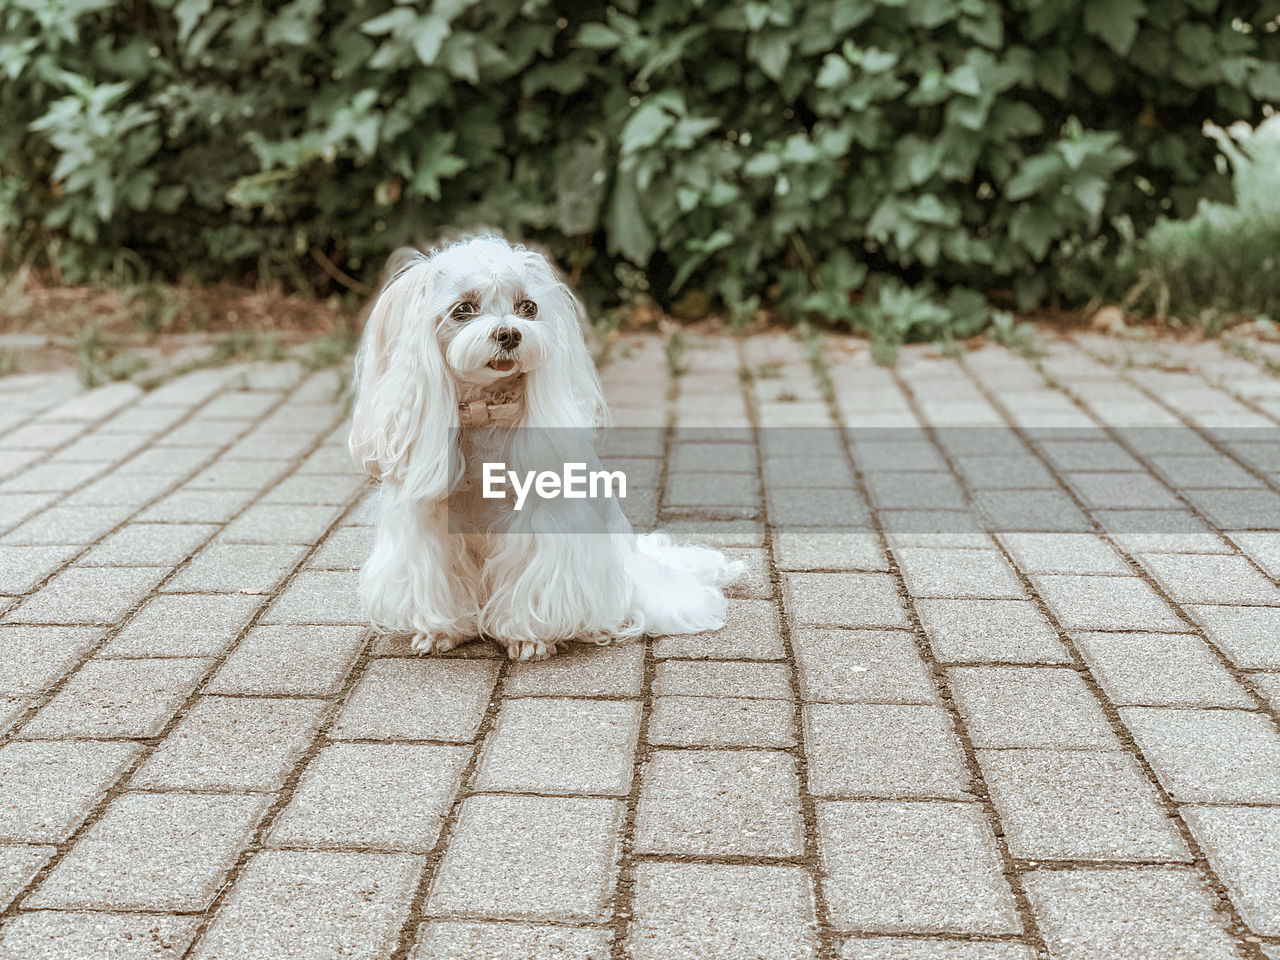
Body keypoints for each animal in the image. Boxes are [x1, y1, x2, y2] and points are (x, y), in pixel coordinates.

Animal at [350, 235, 747, 660]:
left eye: (528, 307)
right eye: (463, 309)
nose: (510, 334)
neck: (487, 412)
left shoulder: (541, 521)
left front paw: (528, 637)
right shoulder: (428, 523)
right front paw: (442, 630)